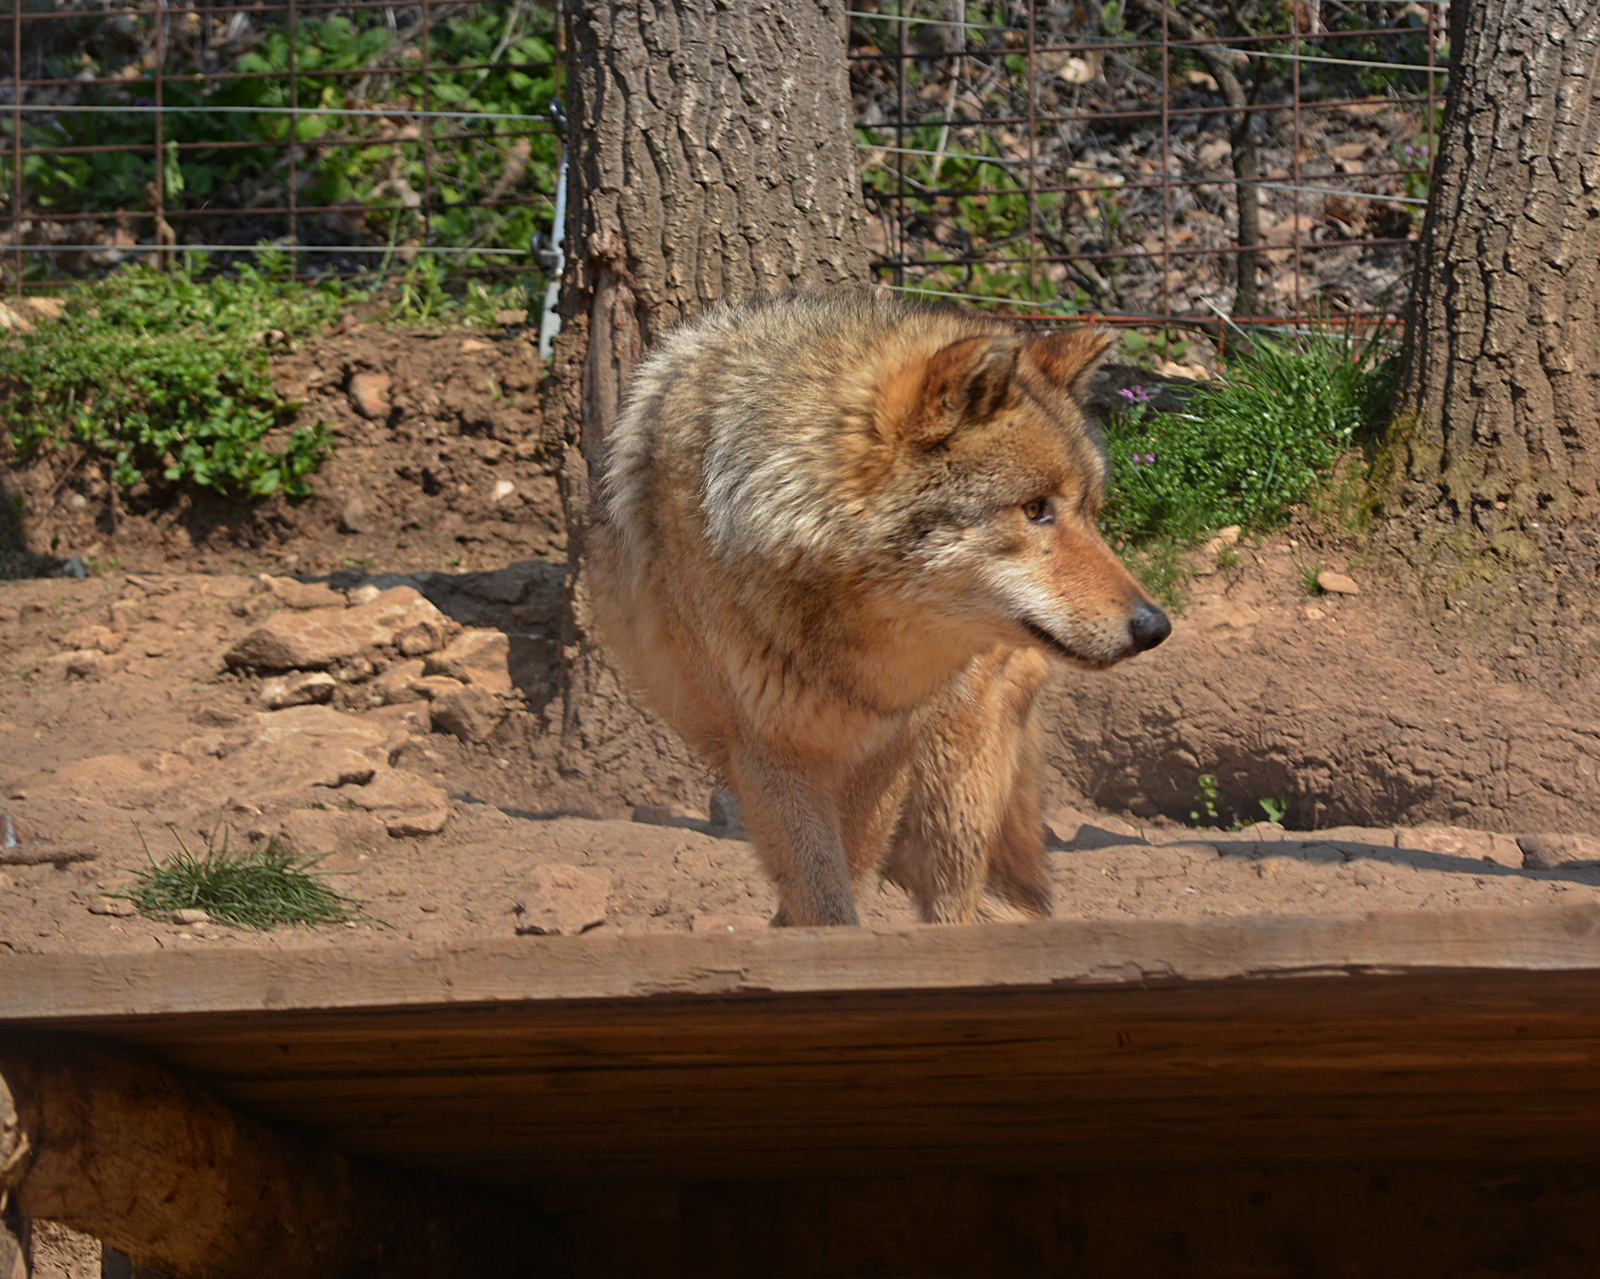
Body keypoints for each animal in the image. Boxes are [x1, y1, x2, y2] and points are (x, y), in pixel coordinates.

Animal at [595, 294, 1171, 928]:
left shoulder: (889, 746)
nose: (1155, 626)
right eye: (1035, 509)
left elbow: (849, 870)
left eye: (1092, 512)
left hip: (954, 773)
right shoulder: (768, 753)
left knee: (956, 900)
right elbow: (821, 892)